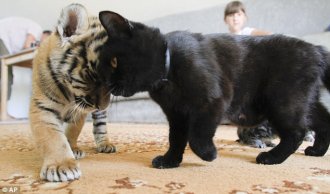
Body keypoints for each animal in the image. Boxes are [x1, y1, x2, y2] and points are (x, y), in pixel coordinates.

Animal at [97, 11, 330, 168]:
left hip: (282, 100)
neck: (169, 68)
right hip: (304, 102)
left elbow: (197, 135)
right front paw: (170, 160)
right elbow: (176, 138)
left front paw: (208, 154)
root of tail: (316, 49)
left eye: (114, 62)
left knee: (296, 131)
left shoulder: (213, 100)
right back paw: (317, 151)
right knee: (323, 121)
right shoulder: (177, 114)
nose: (106, 82)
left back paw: (272, 157)